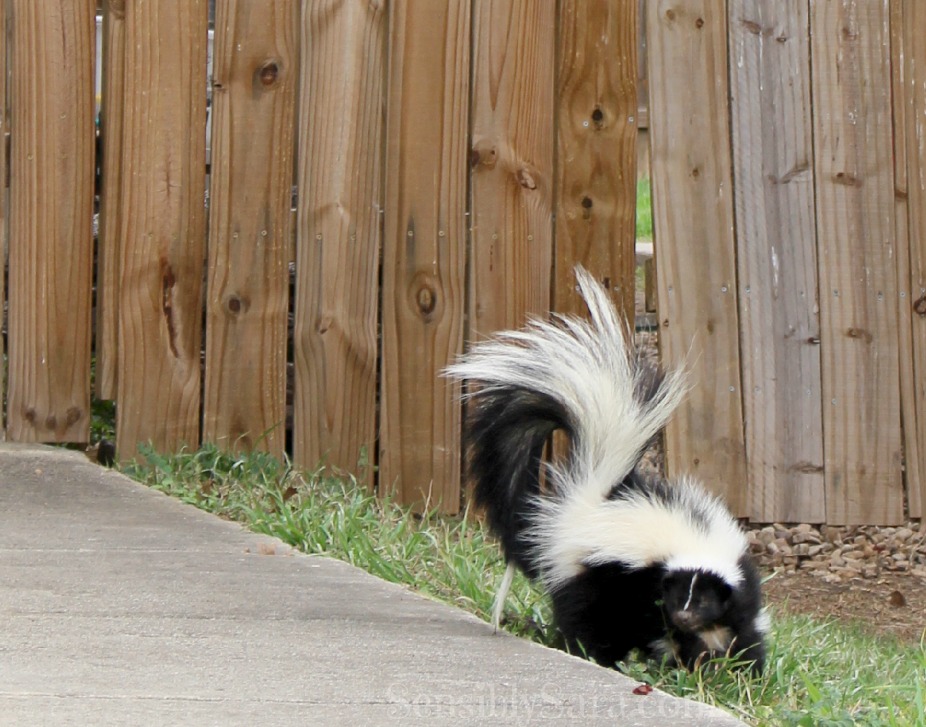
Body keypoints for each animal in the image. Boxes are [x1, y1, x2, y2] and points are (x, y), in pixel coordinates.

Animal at [444, 268, 768, 676]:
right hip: (587, 577)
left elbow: (745, 629)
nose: (683, 617)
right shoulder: (642, 582)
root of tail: (588, 500)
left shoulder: (738, 581)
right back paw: (593, 654)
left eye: (703, 601)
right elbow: (655, 628)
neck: (697, 540)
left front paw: (745, 672)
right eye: (678, 596)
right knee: (587, 619)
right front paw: (681, 661)